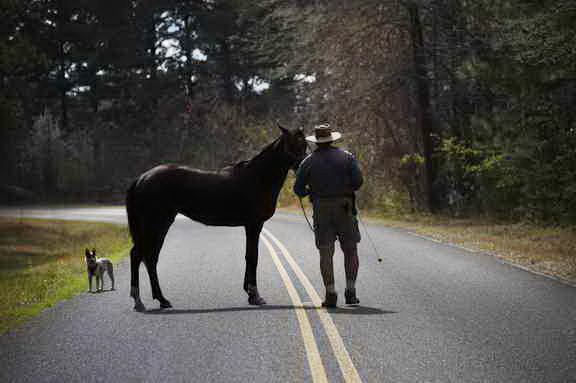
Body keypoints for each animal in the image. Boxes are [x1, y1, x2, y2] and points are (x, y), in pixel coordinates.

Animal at [124, 126, 308, 312]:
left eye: (305, 144)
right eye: (290, 144)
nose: (302, 167)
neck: (259, 177)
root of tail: (141, 178)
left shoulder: (251, 225)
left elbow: (249, 256)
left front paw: (250, 294)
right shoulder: (254, 224)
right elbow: (252, 257)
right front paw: (255, 295)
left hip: (158, 226)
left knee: (150, 258)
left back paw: (162, 300)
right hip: (155, 224)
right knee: (139, 256)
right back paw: (139, 301)